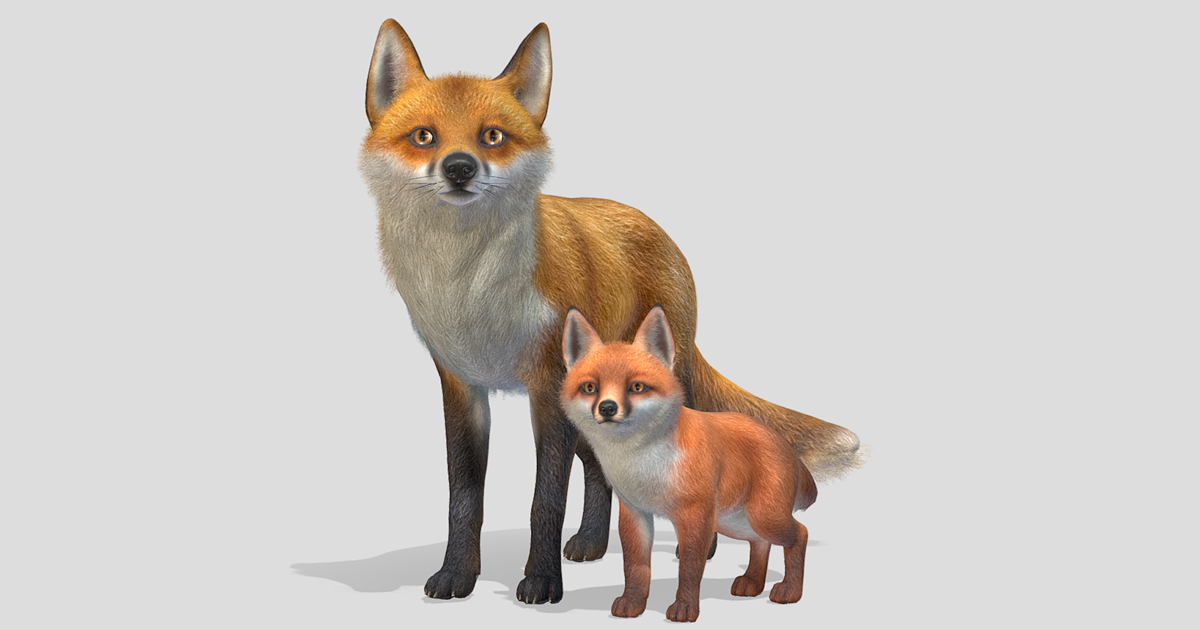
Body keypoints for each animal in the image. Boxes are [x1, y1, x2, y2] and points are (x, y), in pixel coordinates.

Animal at [561, 306, 817, 622]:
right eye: (590, 387)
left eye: (636, 387)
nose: (607, 408)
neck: (644, 465)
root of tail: (780, 440)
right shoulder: (634, 513)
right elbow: (635, 567)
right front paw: (633, 603)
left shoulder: (695, 517)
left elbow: (690, 569)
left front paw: (685, 608)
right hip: (736, 522)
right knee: (760, 543)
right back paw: (753, 583)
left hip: (764, 517)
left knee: (800, 534)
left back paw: (790, 590)